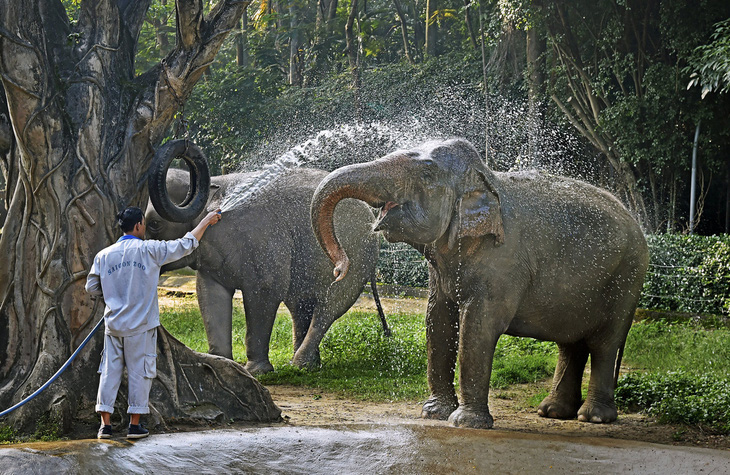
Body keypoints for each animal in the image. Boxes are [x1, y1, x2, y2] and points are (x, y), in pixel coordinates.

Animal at [145, 168, 390, 376]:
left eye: (154, 224)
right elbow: (208, 294)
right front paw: (221, 363)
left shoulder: (262, 243)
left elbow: (265, 290)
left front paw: (256, 372)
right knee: (300, 306)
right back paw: (307, 365)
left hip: (354, 258)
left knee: (329, 307)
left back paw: (299, 365)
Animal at [310, 139, 644, 432]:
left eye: (426, 174)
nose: (339, 269)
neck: (486, 179)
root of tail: (637, 222)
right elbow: (438, 320)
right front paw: (433, 414)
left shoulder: (504, 261)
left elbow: (478, 325)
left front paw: (464, 422)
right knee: (570, 344)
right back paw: (552, 412)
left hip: (627, 278)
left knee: (604, 343)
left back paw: (593, 417)